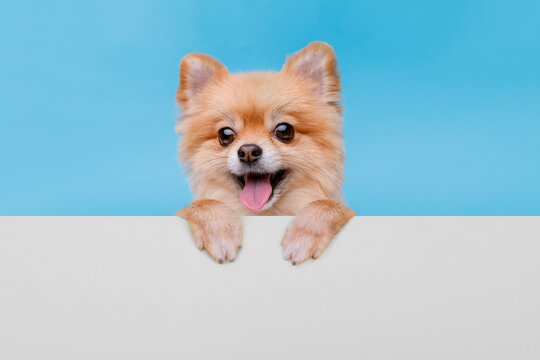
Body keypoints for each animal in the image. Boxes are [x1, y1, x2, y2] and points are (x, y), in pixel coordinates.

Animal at [175, 41, 356, 264]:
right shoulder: (182, 211)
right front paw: (219, 233)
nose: (248, 151)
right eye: (225, 134)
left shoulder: (348, 212)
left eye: (284, 131)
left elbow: (328, 205)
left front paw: (303, 237)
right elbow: (201, 204)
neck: (264, 215)